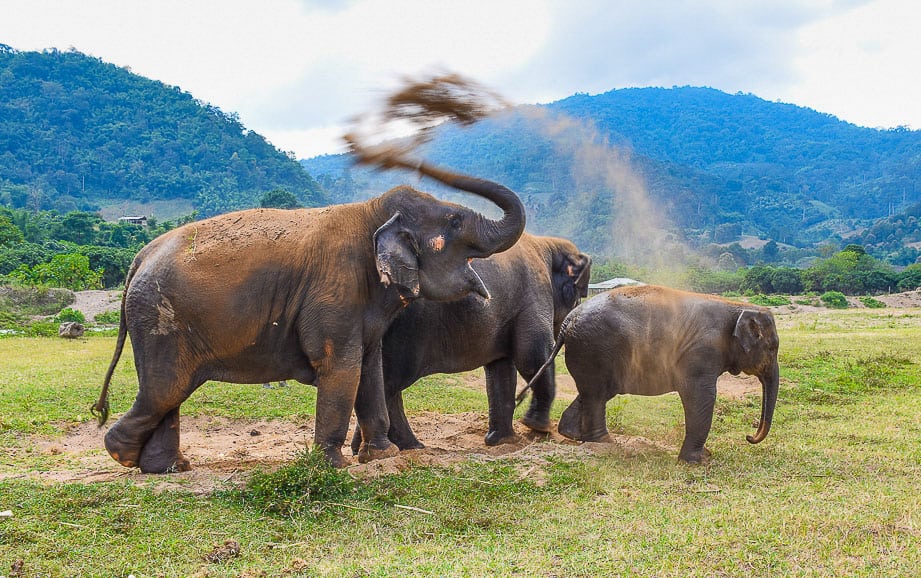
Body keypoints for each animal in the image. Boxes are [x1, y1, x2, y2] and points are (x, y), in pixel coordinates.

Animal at [93, 160, 528, 470]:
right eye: (455, 221)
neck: (370, 212)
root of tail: (140, 256)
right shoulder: (336, 288)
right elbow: (341, 365)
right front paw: (332, 465)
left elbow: (369, 368)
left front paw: (382, 456)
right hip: (159, 319)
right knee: (165, 389)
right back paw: (123, 455)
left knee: (169, 392)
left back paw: (169, 468)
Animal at [348, 232, 592, 452]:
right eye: (579, 296)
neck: (546, 244)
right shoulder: (534, 296)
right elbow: (531, 356)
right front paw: (538, 428)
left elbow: (501, 370)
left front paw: (503, 442)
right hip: (405, 331)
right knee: (390, 382)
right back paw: (406, 447)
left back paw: (370, 447)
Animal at [528, 284, 780, 464]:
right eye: (772, 348)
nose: (749, 437)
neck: (736, 306)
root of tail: (567, 321)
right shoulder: (702, 352)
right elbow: (701, 396)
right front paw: (698, 462)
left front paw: (705, 456)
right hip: (595, 349)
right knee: (597, 395)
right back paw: (605, 443)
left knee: (592, 392)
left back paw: (573, 435)